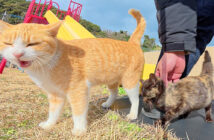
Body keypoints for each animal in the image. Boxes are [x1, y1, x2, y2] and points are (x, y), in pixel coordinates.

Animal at [0, 9, 145, 136]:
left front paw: (79, 130)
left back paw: (132, 114)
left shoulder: (78, 90)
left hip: (129, 81)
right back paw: (108, 103)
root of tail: (132, 43)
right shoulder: (55, 94)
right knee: (114, 92)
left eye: (32, 44)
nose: (17, 54)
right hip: (111, 79)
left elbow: (79, 112)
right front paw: (49, 124)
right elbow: (53, 112)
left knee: (135, 98)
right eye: (9, 43)